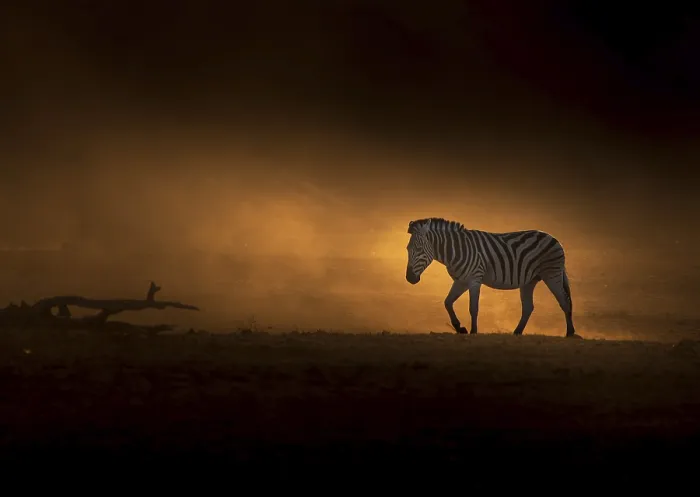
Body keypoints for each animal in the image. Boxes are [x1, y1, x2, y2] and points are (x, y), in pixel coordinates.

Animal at [405, 217, 580, 338]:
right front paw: (460, 328)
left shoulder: (474, 279)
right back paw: (517, 332)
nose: (409, 278)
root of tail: (554, 238)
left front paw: (473, 331)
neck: (455, 251)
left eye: (419, 249)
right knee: (528, 307)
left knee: (565, 301)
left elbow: (473, 307)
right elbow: (447, 302)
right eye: (407, 248)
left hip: (552, 273)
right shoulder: (461, 281)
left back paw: (570, 333)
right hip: (529, 281)